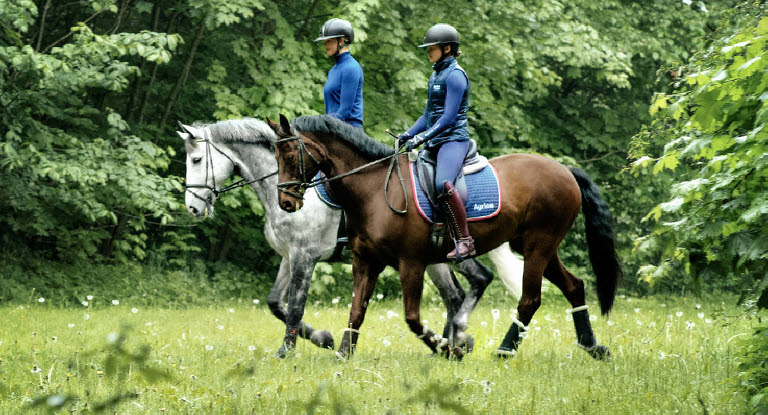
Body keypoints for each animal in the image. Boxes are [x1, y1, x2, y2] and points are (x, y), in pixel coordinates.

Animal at [177, 118, 524, 360]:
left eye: (196, 161)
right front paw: (323, 339)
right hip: (435, 259)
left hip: (439, 257)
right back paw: (448, 344)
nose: (193, 208)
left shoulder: (305, 257)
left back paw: (454, 342)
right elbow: (276, 303)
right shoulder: (289, 257)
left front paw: (289, 350)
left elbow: (295, 305)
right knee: (458, 294)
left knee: (470, 284)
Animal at [268, 114, 620, 360]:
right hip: (538, 246)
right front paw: (343, 352)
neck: (373, 189)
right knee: (574, 286)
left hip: (538, 245)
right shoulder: (366, 262)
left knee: (529, 299)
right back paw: (592, 346)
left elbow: (412, 318)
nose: (286, 203)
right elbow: (357, 310)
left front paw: (449, 349)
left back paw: (504, 350)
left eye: (290, 155)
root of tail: (564, 170)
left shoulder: (410, 263)